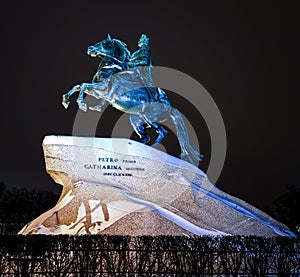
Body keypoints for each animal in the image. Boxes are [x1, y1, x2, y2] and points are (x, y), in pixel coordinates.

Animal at [62, 34, 204, 164]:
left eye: (104, 43)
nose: (90, 49)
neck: (112, 67)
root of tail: (170, 107)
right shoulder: (98, 92)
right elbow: (79, 86)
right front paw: (66, 101)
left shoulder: (102, 88)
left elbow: (83, 85)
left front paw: (81, 104)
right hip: (136, 119)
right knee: (146, 136)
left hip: (150, 119)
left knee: (162, 132)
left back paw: (151, 149)